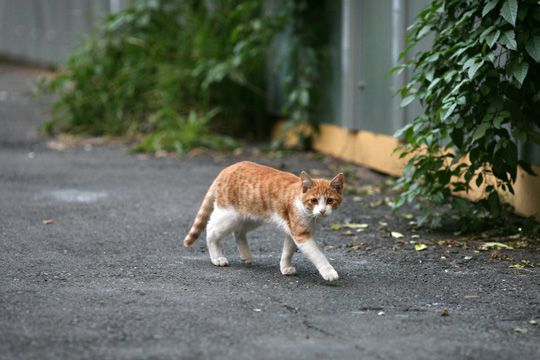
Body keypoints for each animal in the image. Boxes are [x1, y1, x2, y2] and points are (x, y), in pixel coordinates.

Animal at [184, 160, 344, 282]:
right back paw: (217, 257)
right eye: (314, 200)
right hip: (229, 216)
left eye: (330, 201)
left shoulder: (292, 231)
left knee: (239, 232)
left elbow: (288, 251)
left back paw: (245, 256)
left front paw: (285, 267)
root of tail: (228, 168)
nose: (322, 211)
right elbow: (318, 254)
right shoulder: (301, 233)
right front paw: (329, 272)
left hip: (251, 217)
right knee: (211, 230)